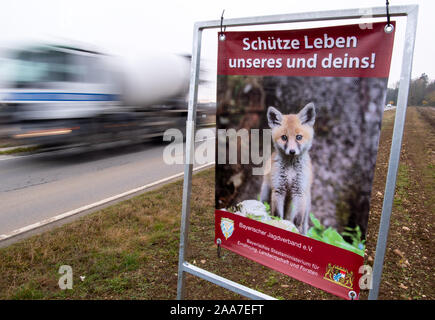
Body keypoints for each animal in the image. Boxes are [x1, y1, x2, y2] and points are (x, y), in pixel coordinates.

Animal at [258, 102, 316, 235]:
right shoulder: (278, 190)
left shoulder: (299, 192)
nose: (292, 151)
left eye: (299, 137)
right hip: (265, 193)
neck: (290, 169)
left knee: (304, 223)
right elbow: (278, 215)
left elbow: (296, 220)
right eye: (284, 137)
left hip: (306, 203)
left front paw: (294, 230)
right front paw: (279, 225)